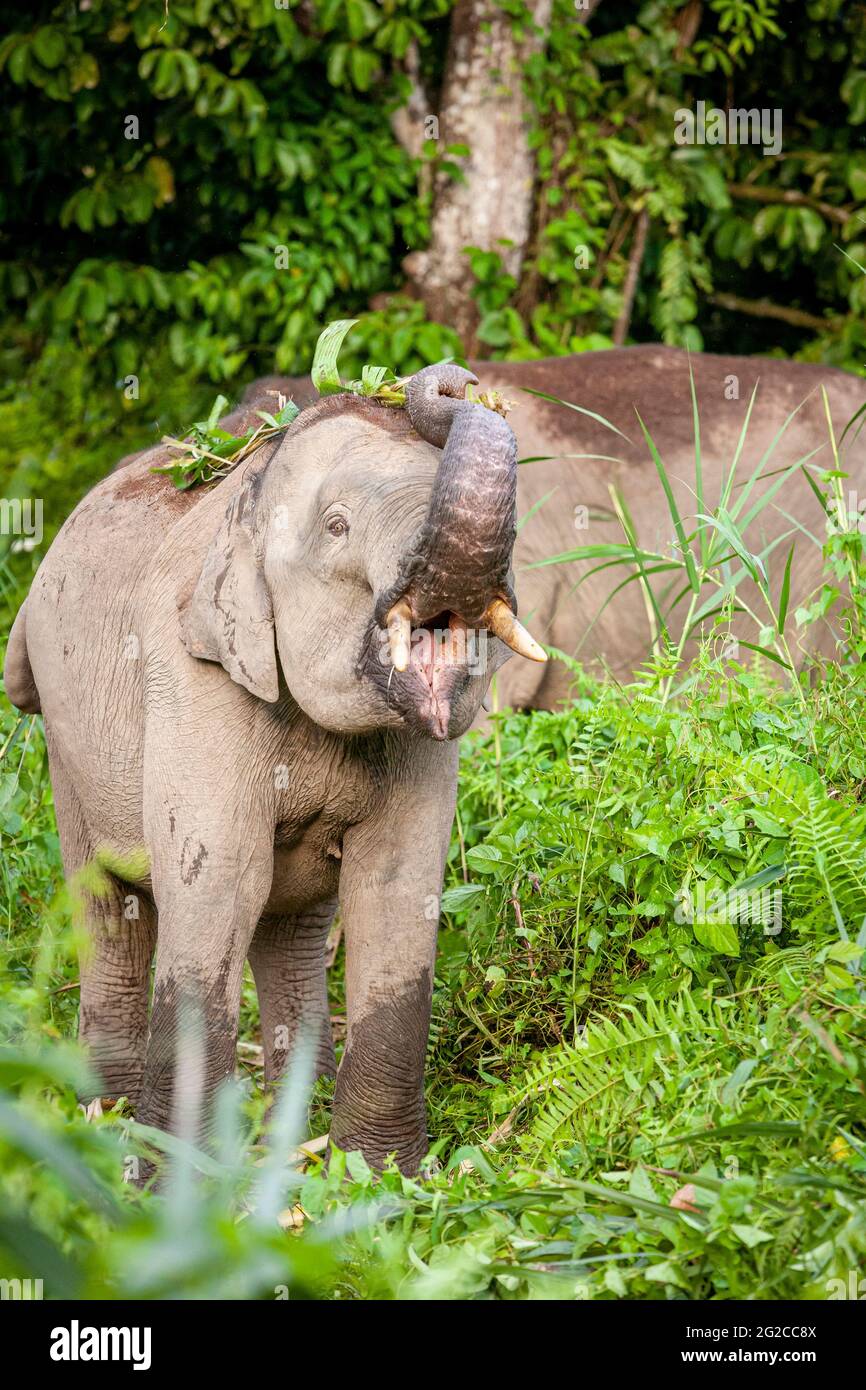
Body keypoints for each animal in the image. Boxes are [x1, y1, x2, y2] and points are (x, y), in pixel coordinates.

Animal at [6, 364, 544, 1167]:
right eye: (338, 526)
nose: (448, 380)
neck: (251, 502)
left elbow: (395, 885)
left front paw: (380, 1173)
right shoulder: (193, 675)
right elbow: (218, 879)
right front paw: (175, 1180)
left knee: (290, 924)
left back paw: (292, 1126)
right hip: (64, 737)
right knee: (107, 900)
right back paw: (105, 1114)